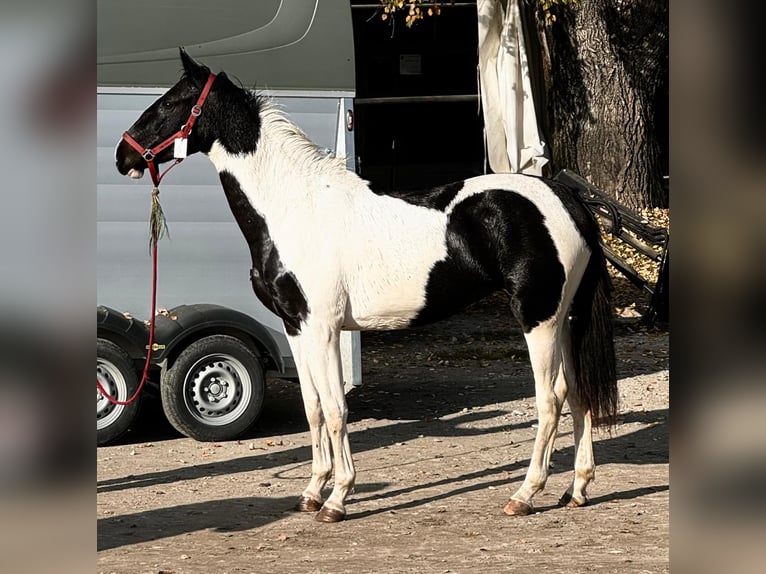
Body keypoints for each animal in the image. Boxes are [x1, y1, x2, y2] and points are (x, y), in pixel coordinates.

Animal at [115, 49, 618, 523]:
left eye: (171, 102)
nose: (123, 156)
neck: (294, 208)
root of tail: (567, 199)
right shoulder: (297, 328)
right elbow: (314, 407)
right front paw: (311, 492)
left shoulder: (323, 329)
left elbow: (337, 409)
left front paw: (337, 499)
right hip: (566, 318)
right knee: (579, 393)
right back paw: (576, 489)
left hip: (538, 318)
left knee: (551, 399)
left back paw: (525, 495)